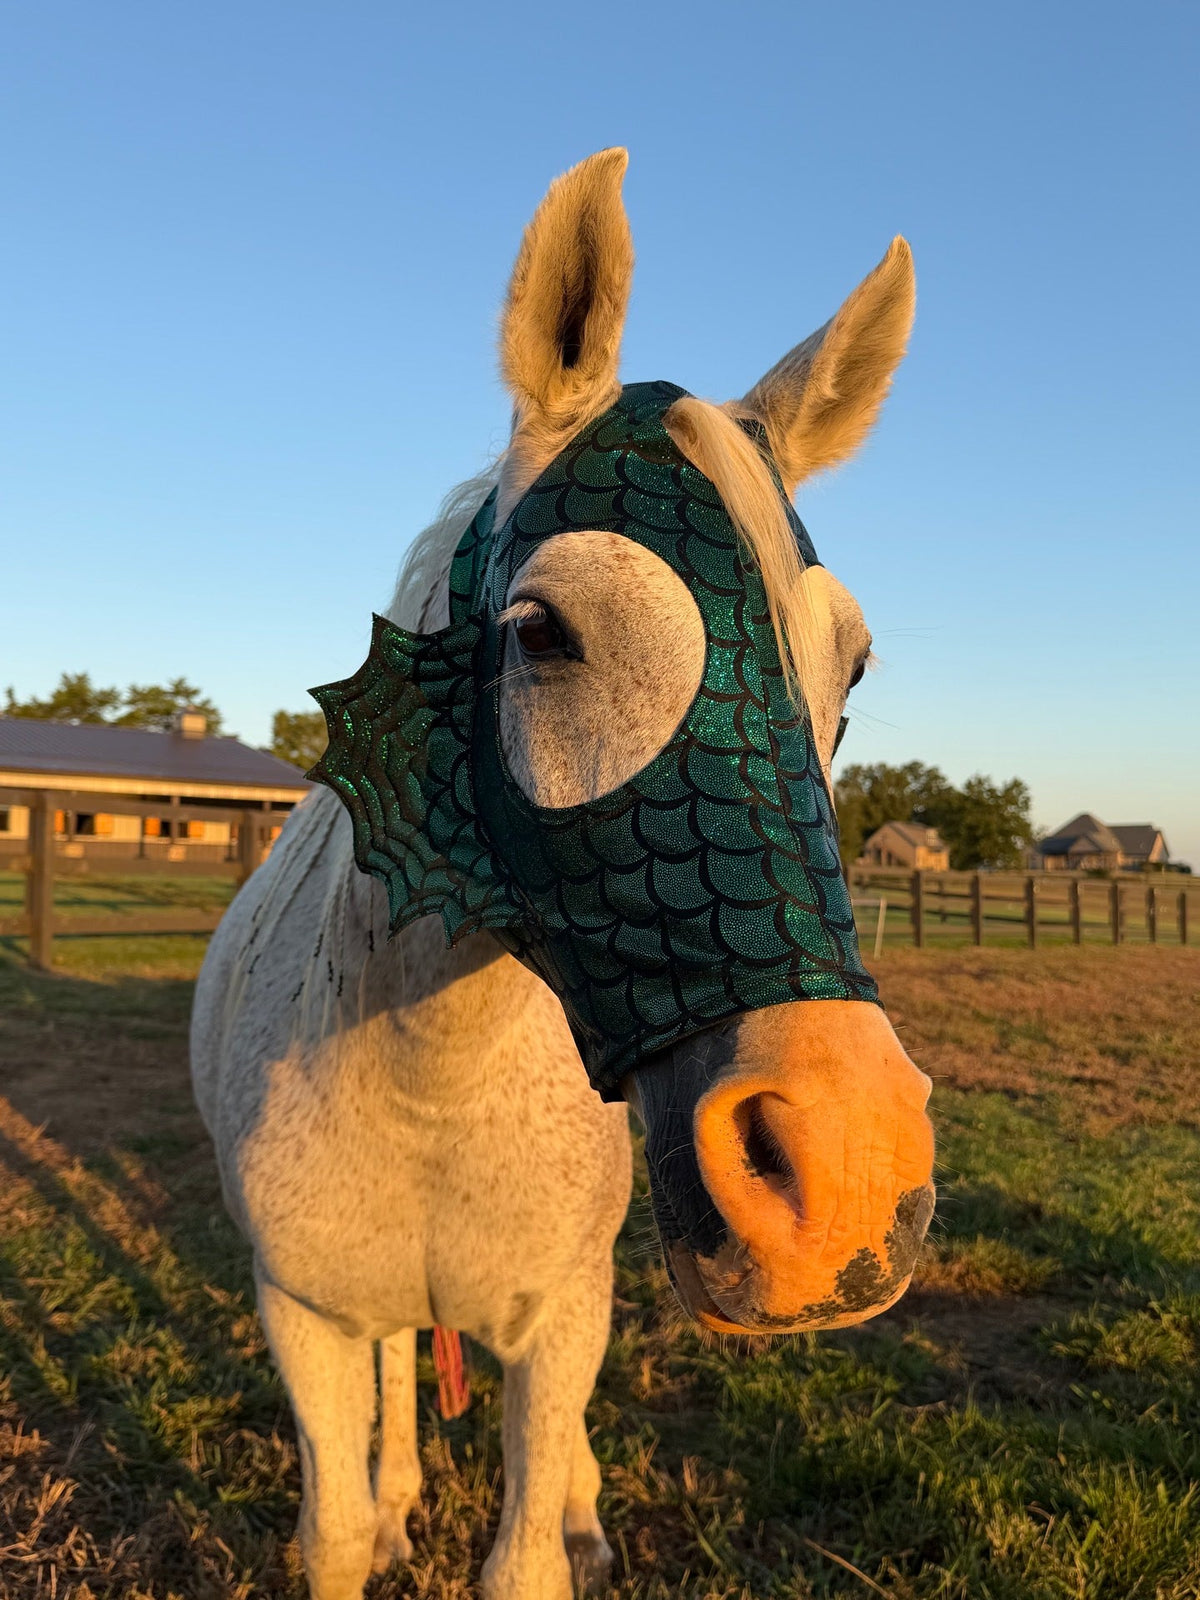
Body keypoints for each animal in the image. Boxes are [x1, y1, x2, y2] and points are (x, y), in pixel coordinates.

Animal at [190, 148, 935, 1600]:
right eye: (541, 630)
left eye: (855, 663)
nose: (847, 1175)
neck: (429, 1078)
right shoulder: (303, 1317)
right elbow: (337, 1523)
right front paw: (383, 1515)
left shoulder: (562, 1316)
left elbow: (528, 1544)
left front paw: (567, 1521)